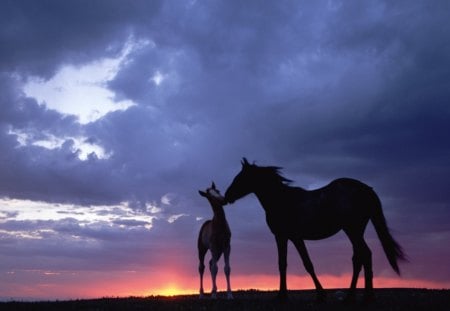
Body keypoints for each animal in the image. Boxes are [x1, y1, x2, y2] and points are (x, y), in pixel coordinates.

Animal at [223, 158, 406, 302]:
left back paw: (366, 296)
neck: (281, 200)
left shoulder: (292, 237)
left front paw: (319, 294)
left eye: (240, 178)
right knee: (359, 258)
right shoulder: (283, 237)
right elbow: (283, 264)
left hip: (352, 230)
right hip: (355, 231)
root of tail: (366, 189)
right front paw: (283, 295)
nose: (227, 196)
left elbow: (307, 264)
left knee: (365, 254)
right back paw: (352, 295)